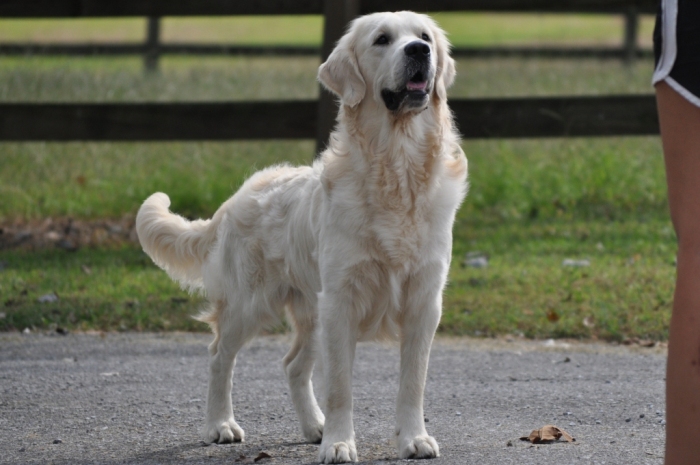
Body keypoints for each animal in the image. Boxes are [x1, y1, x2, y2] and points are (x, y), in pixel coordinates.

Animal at [135, 11, 468, 464]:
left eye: (424, 37)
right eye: (382, 39)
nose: (419, 52)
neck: (396, 169)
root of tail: (238, 196)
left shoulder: (423, 301)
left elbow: (412, 382)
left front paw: (413, 438)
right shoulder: (341, 301)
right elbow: (340, 387)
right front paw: (340, 444)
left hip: (312, 312)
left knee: (293, 365)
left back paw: (314, 427)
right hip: (252, 304)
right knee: (219, 356)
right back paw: (220, 425)